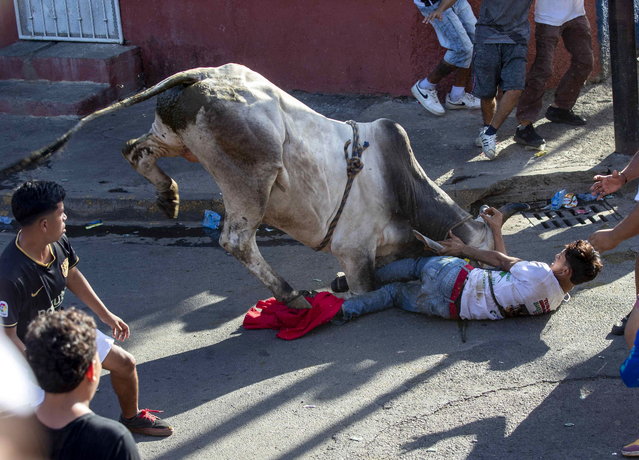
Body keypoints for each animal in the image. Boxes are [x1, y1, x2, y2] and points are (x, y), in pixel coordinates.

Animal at [8, 63, 524, 310]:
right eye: (484, 255)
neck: (403, 192)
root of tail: (205, 74)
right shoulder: (356, 254)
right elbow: (362, 288)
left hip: (177, 141)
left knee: (134, 148)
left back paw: (167, 195)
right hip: (251, 177)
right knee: (236, 239)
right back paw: (290, 294)